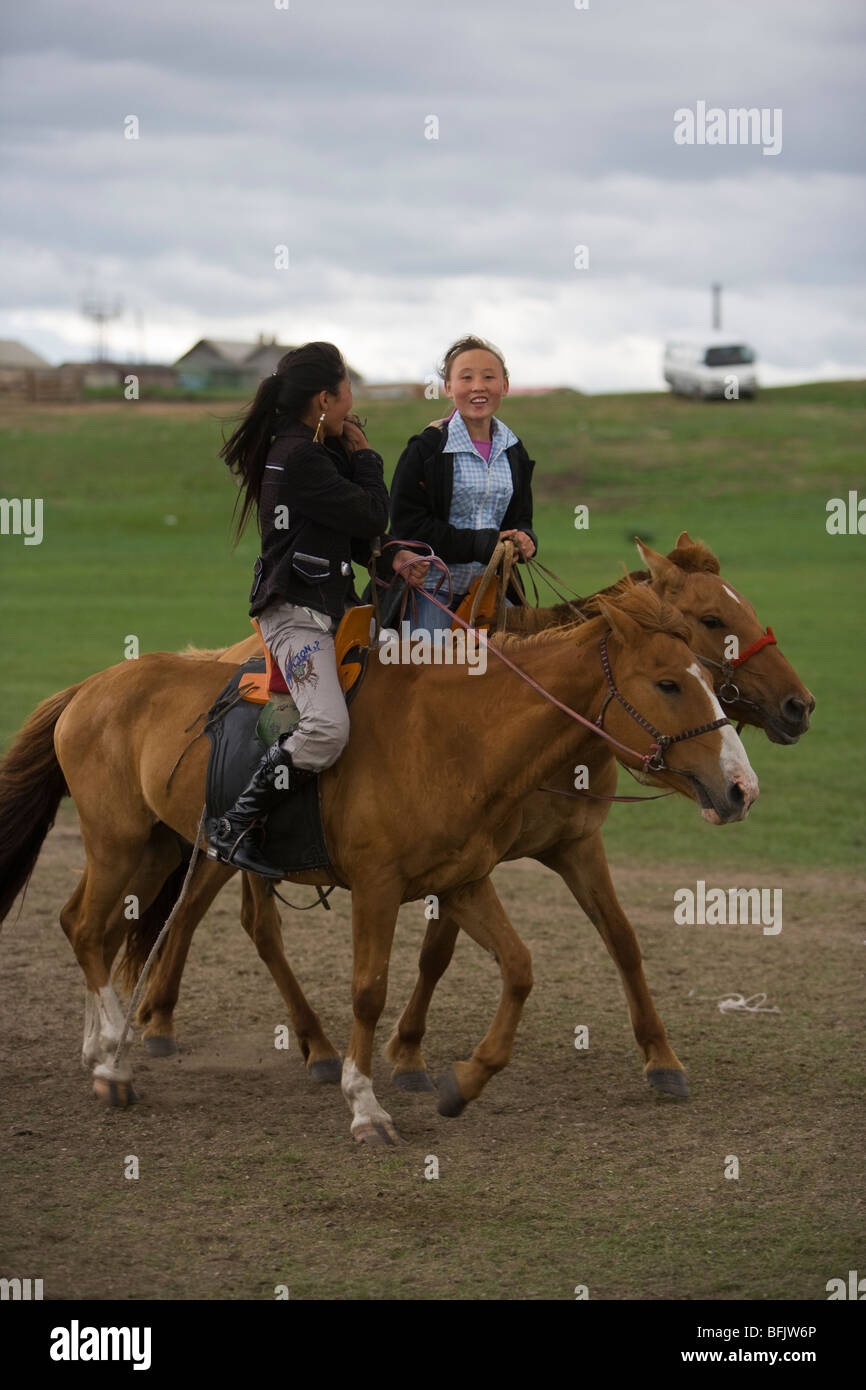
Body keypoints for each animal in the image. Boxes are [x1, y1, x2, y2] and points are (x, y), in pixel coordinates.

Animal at [0, 583, 756, 1139]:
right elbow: (370, 989)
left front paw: (462, 1082)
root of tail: (91, 687)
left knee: (91, 926)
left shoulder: (464, 881)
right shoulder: (377, 887)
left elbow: (518, 969)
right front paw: (365, 1105)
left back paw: (104, 1049)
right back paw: (114, 1061)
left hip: (159, 847)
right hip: (123, 842)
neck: (455, 736)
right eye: (668, 683)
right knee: (90, 928)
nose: (741, 787)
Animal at [127, 528, 811, 1095]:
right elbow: (438, 953)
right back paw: (199, 1025)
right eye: (712, 617)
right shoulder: (460, 862)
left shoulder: (569, 847)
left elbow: (620, 939)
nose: (799, 706)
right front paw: (408, 1056)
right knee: (221, 913)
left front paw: (661, 1059)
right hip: (226, 841)